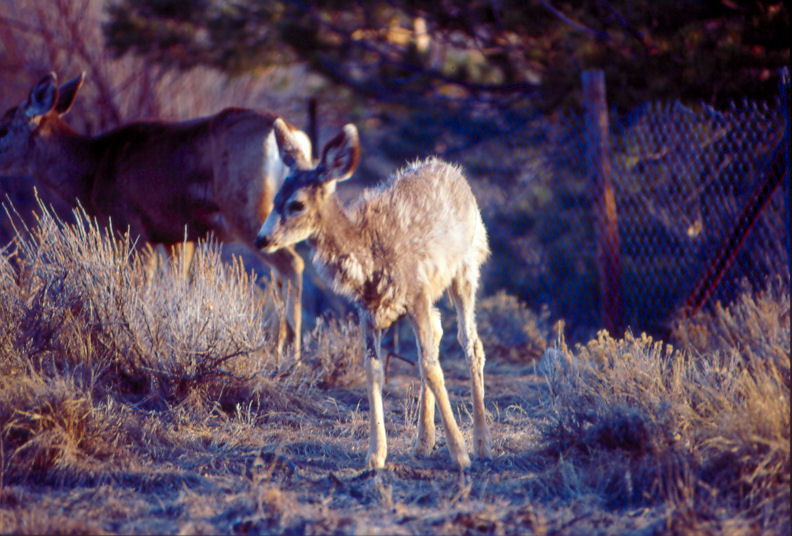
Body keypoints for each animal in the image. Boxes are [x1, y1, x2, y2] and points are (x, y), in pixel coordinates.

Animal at [0, 72, 310, 360]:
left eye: (3, 128)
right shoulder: (177, 237)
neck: (94, 171)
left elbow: (141, 284)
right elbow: (178, 286)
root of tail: (294, 135)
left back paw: (292, 356)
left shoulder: (130, 224)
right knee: (281, 275)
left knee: (293, 265)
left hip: (245, 211)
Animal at [256, 121, 492, 468]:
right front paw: (376, 454)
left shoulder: (416, 292)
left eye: (296, 204)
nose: (262, 238)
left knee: (470, 343)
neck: (369, 254)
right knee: (437, 334)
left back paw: (481, 443)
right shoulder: (368, 309)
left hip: (466, 268)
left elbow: (431, 367)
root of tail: (453, 171)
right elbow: (374, 370)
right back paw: (423, 442)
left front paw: (460, 454)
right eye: (274, 198)